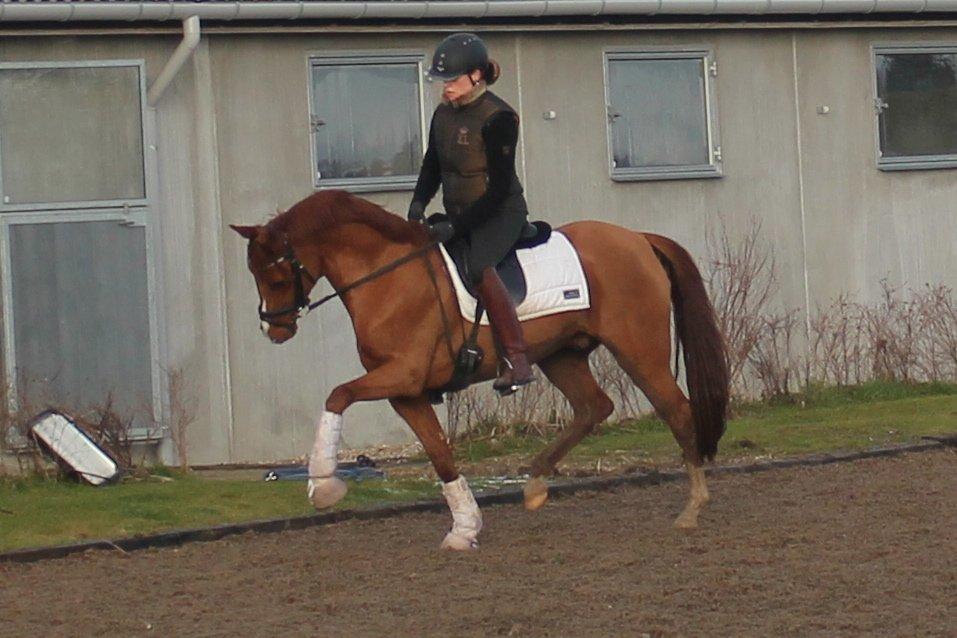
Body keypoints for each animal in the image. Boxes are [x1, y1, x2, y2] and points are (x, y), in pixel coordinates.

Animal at [231, 189, 729, 551]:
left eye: (276, 275)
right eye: (253, 273)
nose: (273, 329)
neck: (387, 276)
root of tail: (637, 238)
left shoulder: (401, 375)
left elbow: (337, 394)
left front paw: (324, 487)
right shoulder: (405, 392)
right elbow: (440, 454)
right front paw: (465, 528)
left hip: (639, 350)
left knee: (676, 410)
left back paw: (692, 509)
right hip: (560, 355)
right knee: (593, 407)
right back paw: (535, 484)